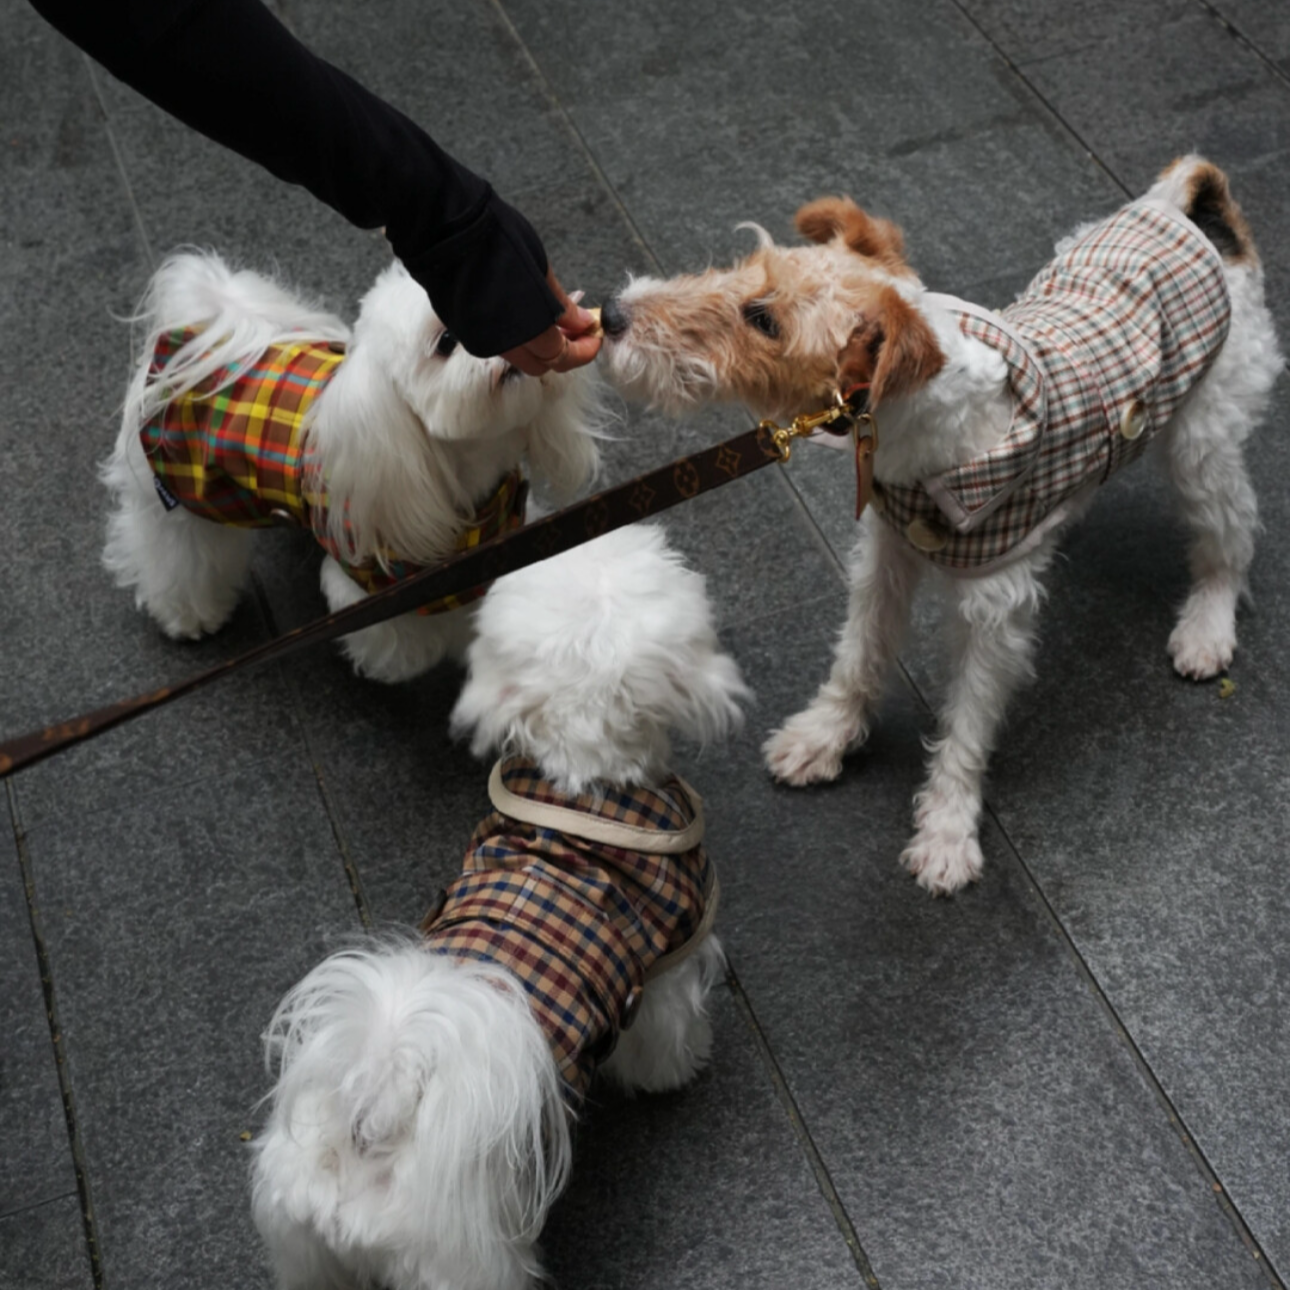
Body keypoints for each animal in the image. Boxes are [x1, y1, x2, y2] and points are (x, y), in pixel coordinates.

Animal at [104, 245, 598, 681]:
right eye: (446, 341)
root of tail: (195, 340)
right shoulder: (376, 583)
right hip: (176, 495)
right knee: (176, 554)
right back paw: (190, 614)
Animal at [248, 523, 748, 1290]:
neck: (584, 778)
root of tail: (377, 1113)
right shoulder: (670, 952)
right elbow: (665, 1032)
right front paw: (678, 1069)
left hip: (306, 1243)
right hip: (463, 1259)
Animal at [598, 153, 1284, 897]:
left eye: (764, 319)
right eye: (744, 268)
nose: (610, 314)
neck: (925, 435)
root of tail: (1190, 208)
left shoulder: (993, 613)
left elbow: (968, 724)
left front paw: (948, 834)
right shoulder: (885, 556)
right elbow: (858, 656)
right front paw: (823, 738)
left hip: (1203, 445)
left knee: (1230, 540)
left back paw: (1206, 629)